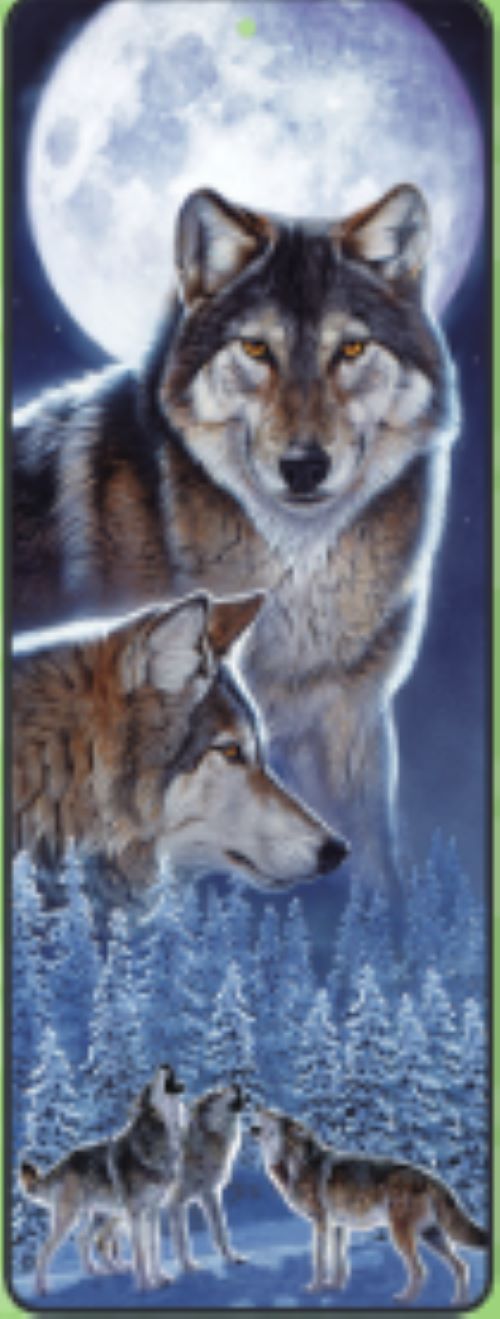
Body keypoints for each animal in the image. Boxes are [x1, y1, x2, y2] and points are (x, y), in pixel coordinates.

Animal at [19, 1063, 186, 1293]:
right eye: (150, 1085)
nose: (165, 1065)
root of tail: (64, 1161)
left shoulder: (152, 1212)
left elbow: (154, 1248)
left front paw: (160, 1279)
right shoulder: (135, 1214)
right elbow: (140, 1253)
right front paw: (145, 1286)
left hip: (93, 1217)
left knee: (82, 1240)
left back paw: (94, 1272)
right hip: (69, 1219)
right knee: (44, 1251)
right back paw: (41, 1289)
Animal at [251, 1109, 488, 1304]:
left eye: (270, 1115)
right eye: (264, 1112)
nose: (255, 1109)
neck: (297, 1163)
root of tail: (434, 1179)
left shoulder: (321, 1223)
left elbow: (319, 1260)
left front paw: (315, 1288)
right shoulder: (338, 1227)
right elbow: (339, 1260)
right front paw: (335, 1287)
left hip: (402, 1236)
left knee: (420, 1271)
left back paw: (405, 1299)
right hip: (432, 1236)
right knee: (461, 1267)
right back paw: (459, 1301)